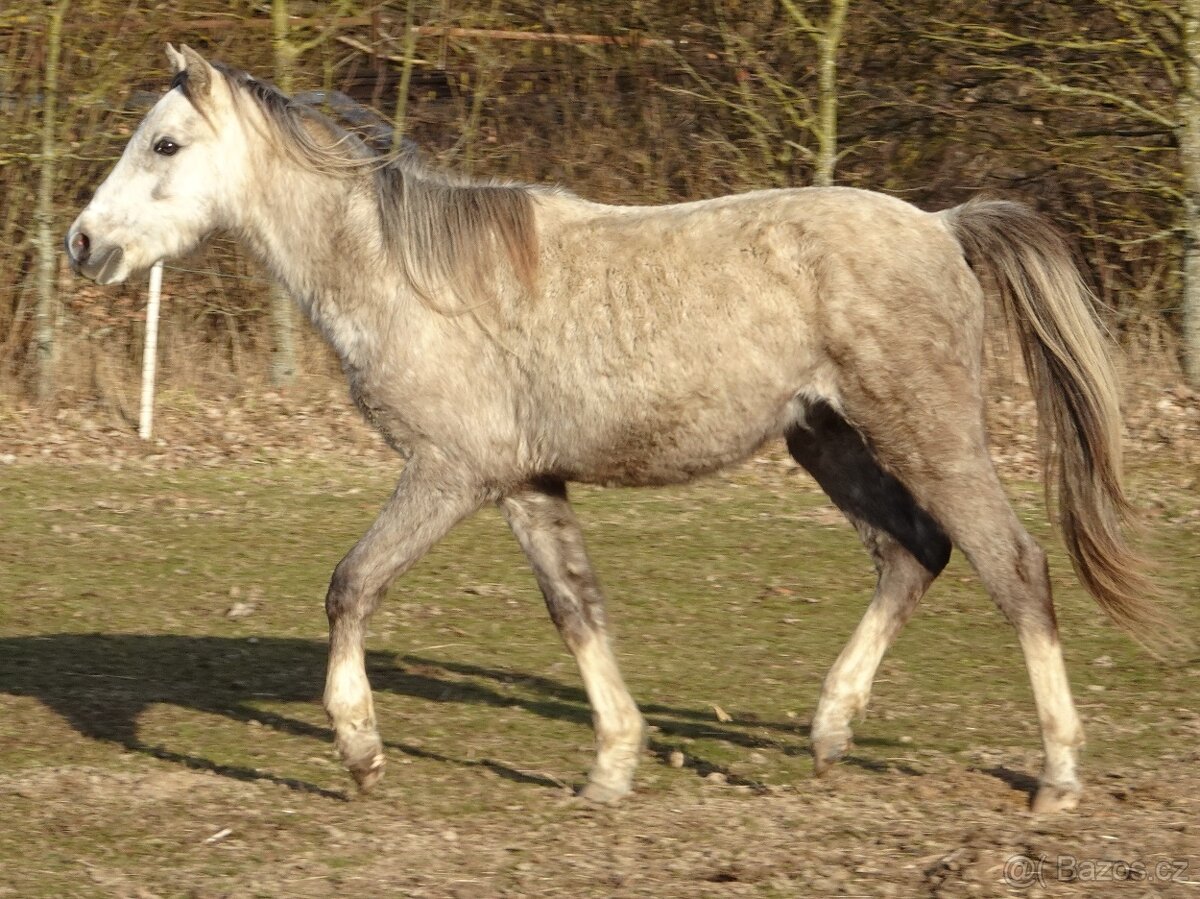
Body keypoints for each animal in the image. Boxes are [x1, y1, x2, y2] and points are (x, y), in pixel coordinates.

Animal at [66, 44, 1158, 813]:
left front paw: (361, 752)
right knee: (911, 552)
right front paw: (611, 769)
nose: (83, 242)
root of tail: (942, 225)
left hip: (927, 432)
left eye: (164, 144)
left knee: (1013, 565)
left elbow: (352, 584)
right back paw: (829, 732)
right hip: (828, 440)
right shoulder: (524, 485)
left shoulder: (449, 473)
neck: (407, 278)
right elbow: (577, 609)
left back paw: (1056, 776)